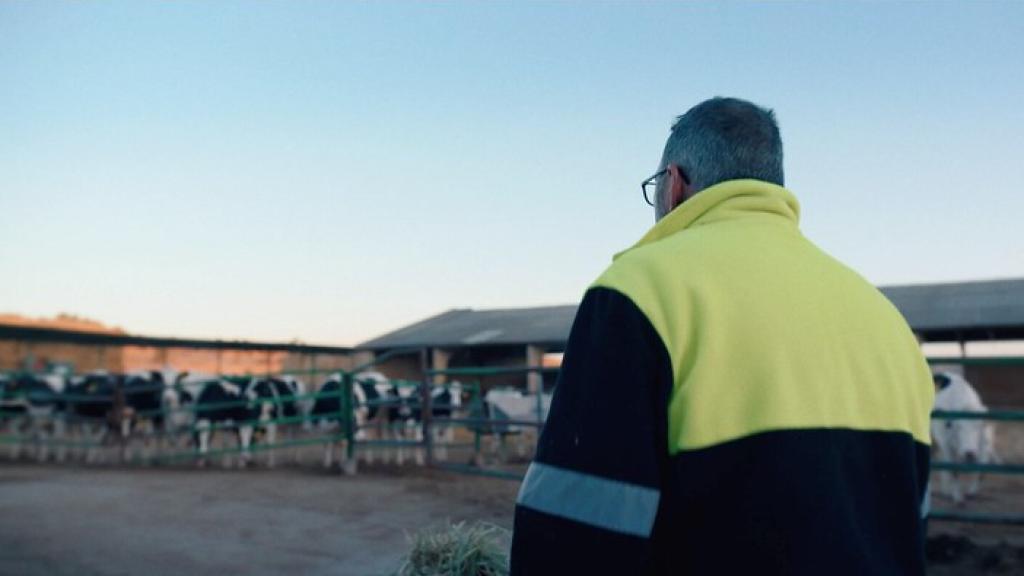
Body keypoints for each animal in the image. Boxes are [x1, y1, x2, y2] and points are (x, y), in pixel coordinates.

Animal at [929, 373, 999, 502]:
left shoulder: (985, 445)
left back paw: (945, 491)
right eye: (958, 427)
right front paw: (958, 498)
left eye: (979, 426)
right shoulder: (947, 445)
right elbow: (954, 470)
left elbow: (982, 471)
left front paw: (972, 492)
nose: (969, 452)